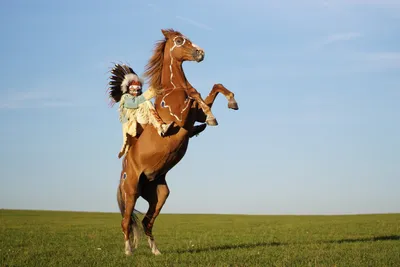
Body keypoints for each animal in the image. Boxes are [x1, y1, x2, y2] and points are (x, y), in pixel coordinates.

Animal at [115, 28, 238, 256]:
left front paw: (231, 103)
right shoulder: (181, 117)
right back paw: (128, 251)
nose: (200, 53)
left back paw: (156, 251)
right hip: (131, 190)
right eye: (180, 40)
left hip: (159, 193)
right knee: (126, 222)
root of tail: (122, 174)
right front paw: (212, 118)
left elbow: (213, 89)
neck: (173, 89)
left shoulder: (194, 116)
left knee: (146, 222)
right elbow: (196, 96)